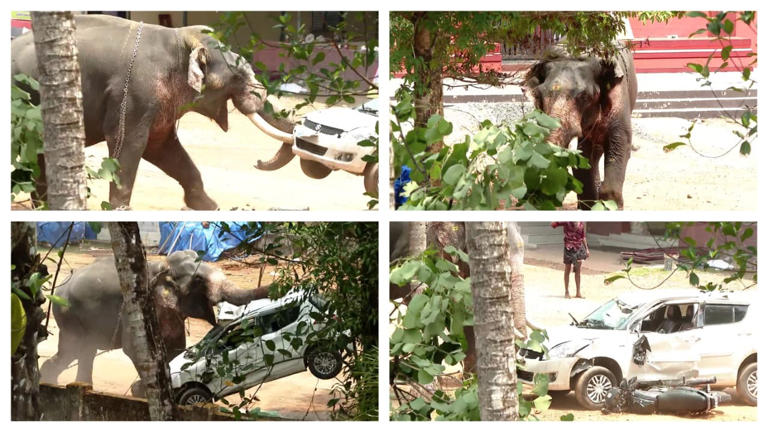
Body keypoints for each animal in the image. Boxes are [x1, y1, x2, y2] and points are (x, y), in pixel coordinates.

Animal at [11, 14, 296, 210]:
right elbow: (130, 144)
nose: (257, 162)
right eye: (237, 76)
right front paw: (120, 210)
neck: (180, 39)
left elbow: (161, 146)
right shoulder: (135, 95)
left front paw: (208, 206)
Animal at [39, 250, 270, 388]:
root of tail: (59, 288)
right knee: (74, 350)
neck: (162, 267)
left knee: (84, 352)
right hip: (69, 316)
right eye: (198, 279)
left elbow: (174, 348)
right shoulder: (136, 305)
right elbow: (135, 349)